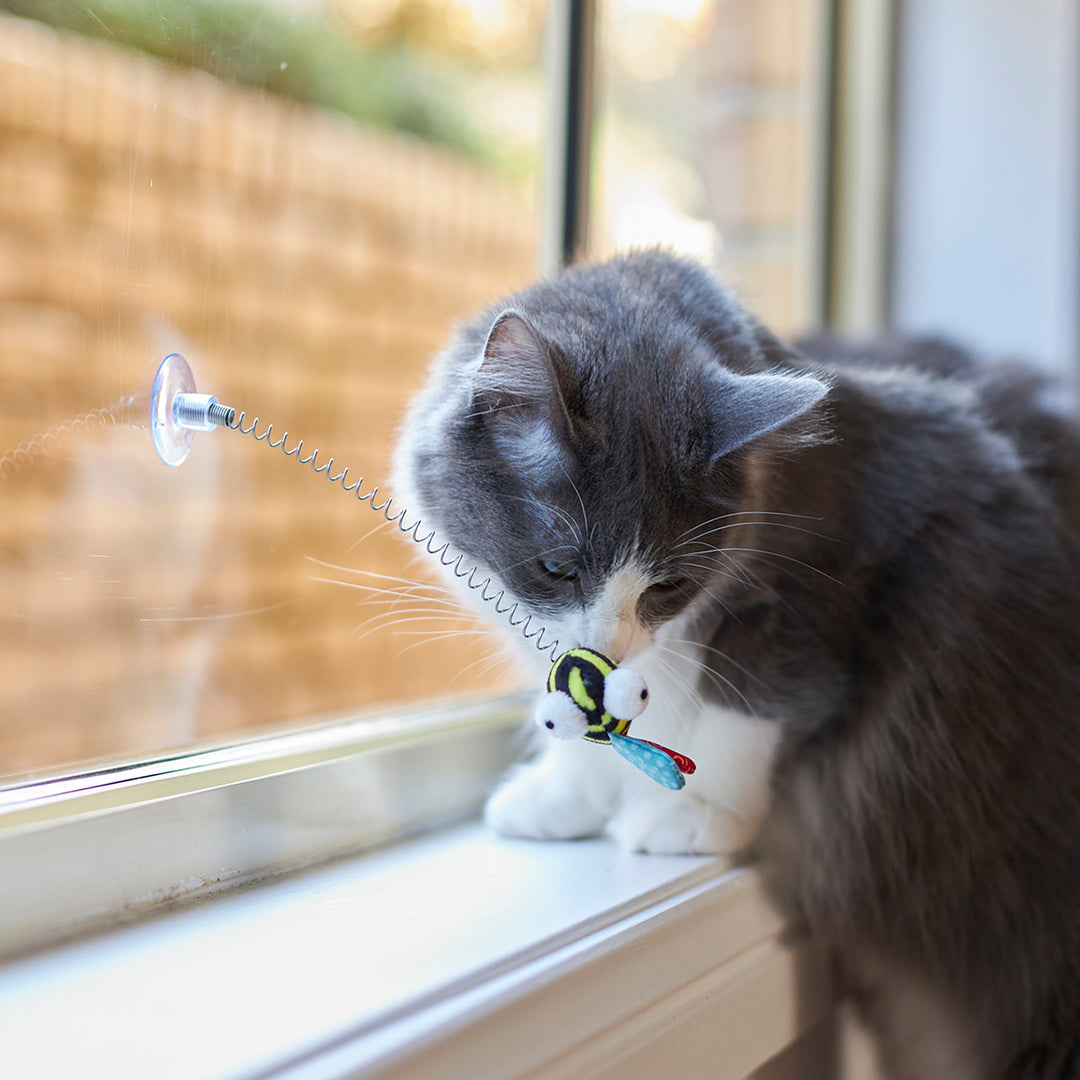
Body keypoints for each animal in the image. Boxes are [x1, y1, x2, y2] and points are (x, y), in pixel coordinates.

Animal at [393, 248, 1080, 1075]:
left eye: (667, 586)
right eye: (557, 567)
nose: (613, 645)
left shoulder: (814, 600)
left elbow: (747, 709)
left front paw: (695, 812)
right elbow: (585, 717)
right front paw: (565, 799)